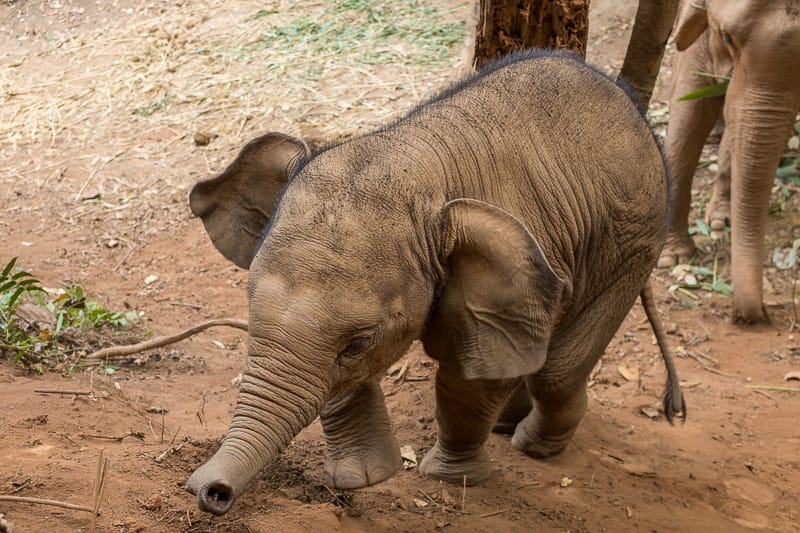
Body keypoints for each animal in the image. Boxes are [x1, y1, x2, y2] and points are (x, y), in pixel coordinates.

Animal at [184, 49, 685, 516]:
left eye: (358, 344)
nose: (211, 492)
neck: (417, 164)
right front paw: (362, 478)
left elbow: (470, 376)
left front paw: (447, 478)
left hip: (635, 245)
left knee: (557, 372)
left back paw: (531, 445)